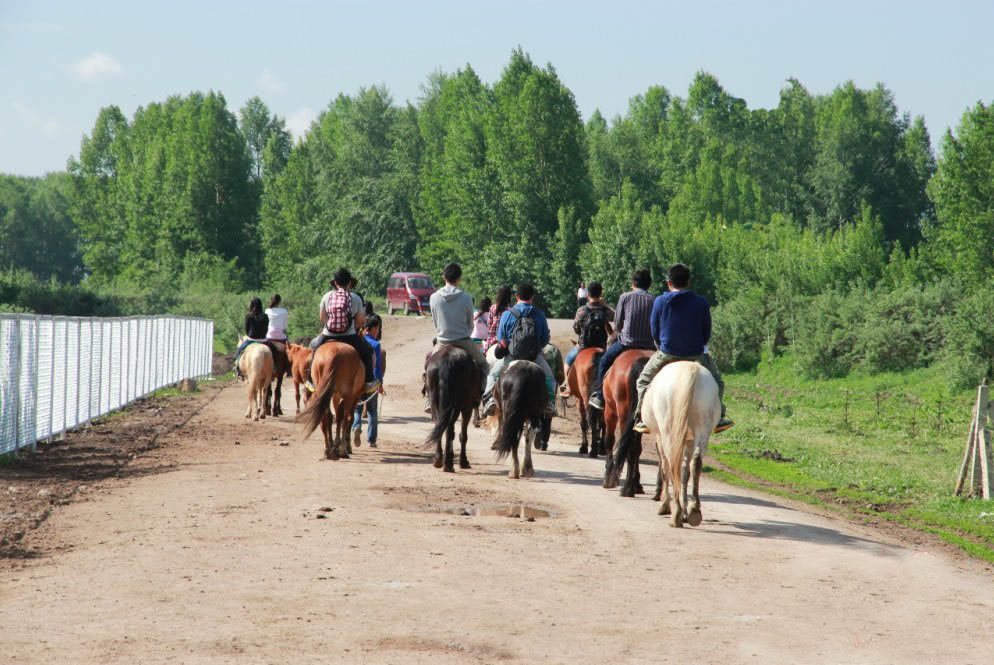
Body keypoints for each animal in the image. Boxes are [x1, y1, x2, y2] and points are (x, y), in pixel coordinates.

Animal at [596, 348, 652, 492]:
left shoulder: (609, 413)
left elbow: (609, 440)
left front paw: (609, 476)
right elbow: (637, 449)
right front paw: (637, 482)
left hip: (622, 415)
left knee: (626, 445)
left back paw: (626, 487)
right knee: (634, 447)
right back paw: (632, 485)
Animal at [640, 360, 716, 528]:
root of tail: (690, 369)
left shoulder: (659, 436)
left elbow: (665, 468)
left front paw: (665, 505)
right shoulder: (689, 440)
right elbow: (685, 472)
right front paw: (687, 512)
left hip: (668, 430)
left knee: (671, 464)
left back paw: (675, 513)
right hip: (703, 429)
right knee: (695, 463)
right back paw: (694, 510)